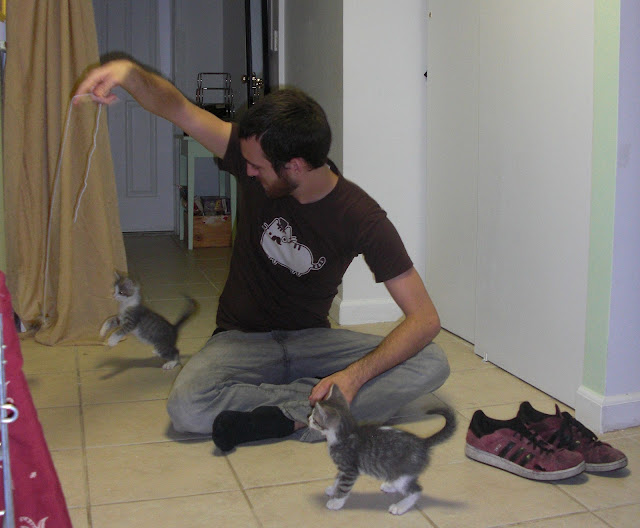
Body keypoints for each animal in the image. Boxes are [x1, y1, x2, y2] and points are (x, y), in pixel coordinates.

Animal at [308, 384, 457, 515]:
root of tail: (423, 442)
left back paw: (400, 506)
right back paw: (390, 486)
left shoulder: (350, 469)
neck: (345, 434)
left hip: (402, 472)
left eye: (315, 419)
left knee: (416, 490)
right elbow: (338, 478)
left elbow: (344, 486)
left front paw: (336, 502)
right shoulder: (343, 468)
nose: (308, 418)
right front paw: (333, 489)